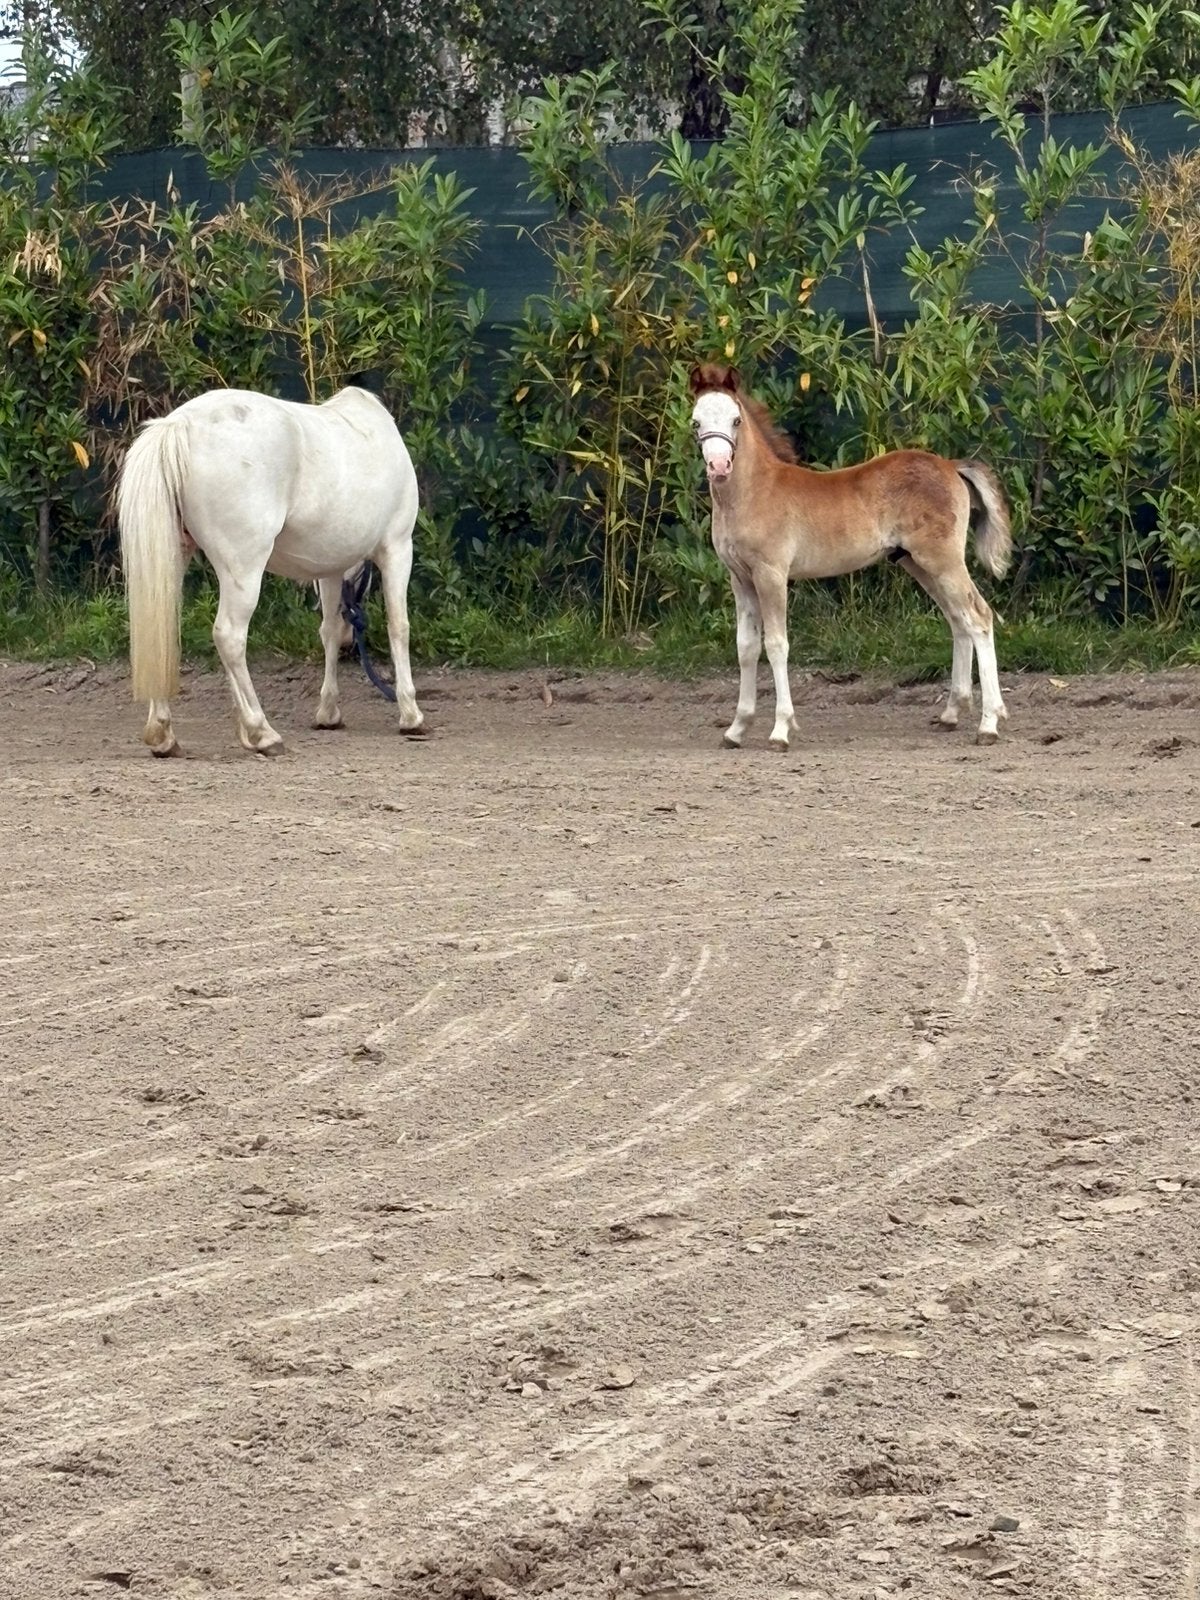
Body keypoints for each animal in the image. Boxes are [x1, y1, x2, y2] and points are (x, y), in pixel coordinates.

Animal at [117, 383, 425, 757]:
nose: (355, 644)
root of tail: (179, 425)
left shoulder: (329, 568)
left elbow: (329, 631)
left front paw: (328, 713)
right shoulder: (397, 547)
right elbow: (399, 627)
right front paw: (411, 714)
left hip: (174, 559)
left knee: (162, 631)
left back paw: (163, 735)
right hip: (244, 568)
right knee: (230, 636)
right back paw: (261, 731)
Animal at [688, 363, 1013, 750]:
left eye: (736, 420)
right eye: (695, 422)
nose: (719, 466)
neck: (753, 493)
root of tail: (950, 466)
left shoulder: (771, 575)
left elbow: (777, 644)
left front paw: (781, 729)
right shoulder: (740, 578)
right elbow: (746, 647)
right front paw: (737, 729)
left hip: (942, 560)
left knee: (978, 617)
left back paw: (989, 724)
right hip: (918, 563)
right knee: (957, 620)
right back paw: (951, 713)